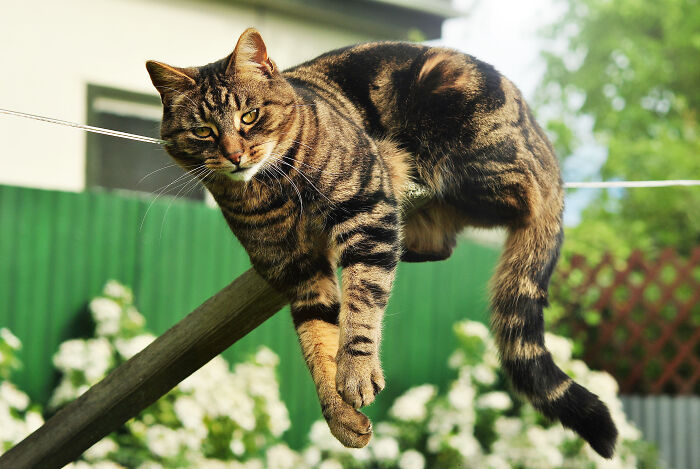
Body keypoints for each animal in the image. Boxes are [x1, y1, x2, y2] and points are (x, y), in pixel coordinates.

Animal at [145, 27, 616, 456]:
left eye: (250, 116)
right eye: (203, 131)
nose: (234, 155)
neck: (273, 189)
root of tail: (545, 146)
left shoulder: (367, 210)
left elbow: (362, 304)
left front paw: (355, 372)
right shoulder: (297, 271)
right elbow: (318, 341)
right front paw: (340, 416)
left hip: (460, 139)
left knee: (521, 195)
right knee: (441, 243)